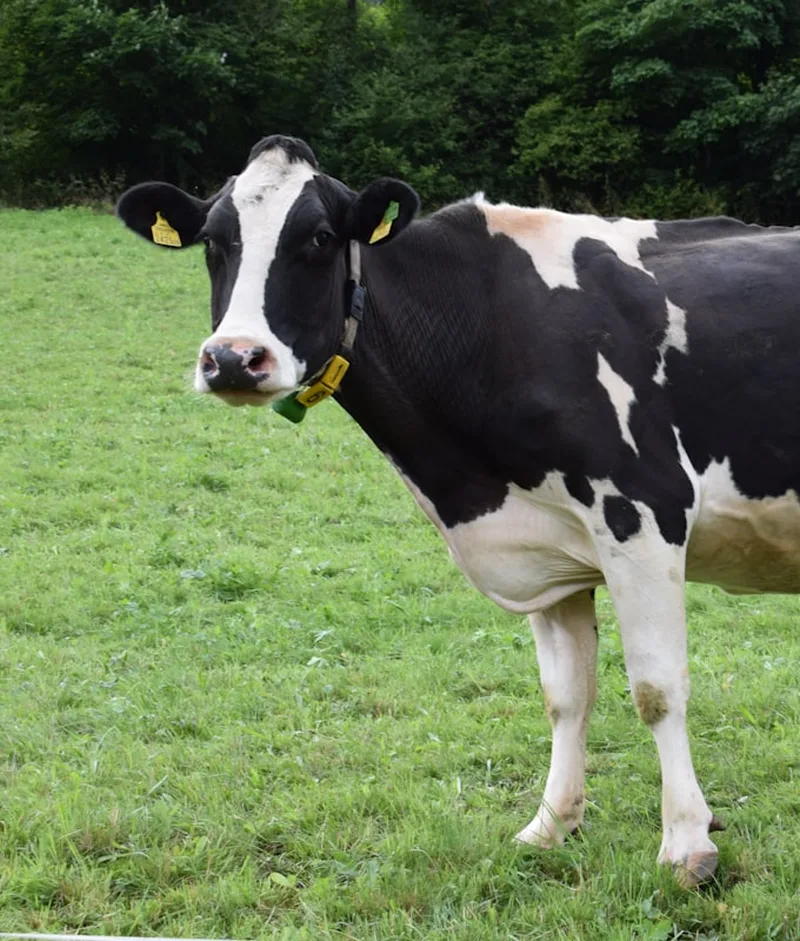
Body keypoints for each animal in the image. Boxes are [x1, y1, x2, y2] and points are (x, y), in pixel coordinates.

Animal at [116, 134, 800, 888]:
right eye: (214, 241)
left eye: (319, 237)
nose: (234, 358)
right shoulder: (547, 547)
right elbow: (566, 693)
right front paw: (550, 825)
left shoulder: (643, 511)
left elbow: (656, 688)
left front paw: (686, 843)